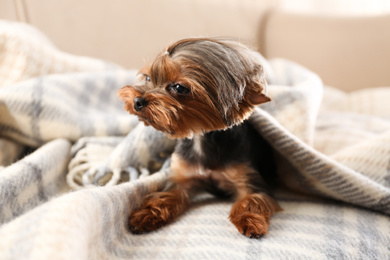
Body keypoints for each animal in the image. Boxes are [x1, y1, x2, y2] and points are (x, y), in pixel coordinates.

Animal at [119, 37, 280, 239]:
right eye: (148, 78)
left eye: (179, 87)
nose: (137, 101)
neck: (200, 139)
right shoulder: (182, 178)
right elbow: (164, 196)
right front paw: (145, 215)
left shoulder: (248, 178)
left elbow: (252, 199)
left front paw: (250, 221)